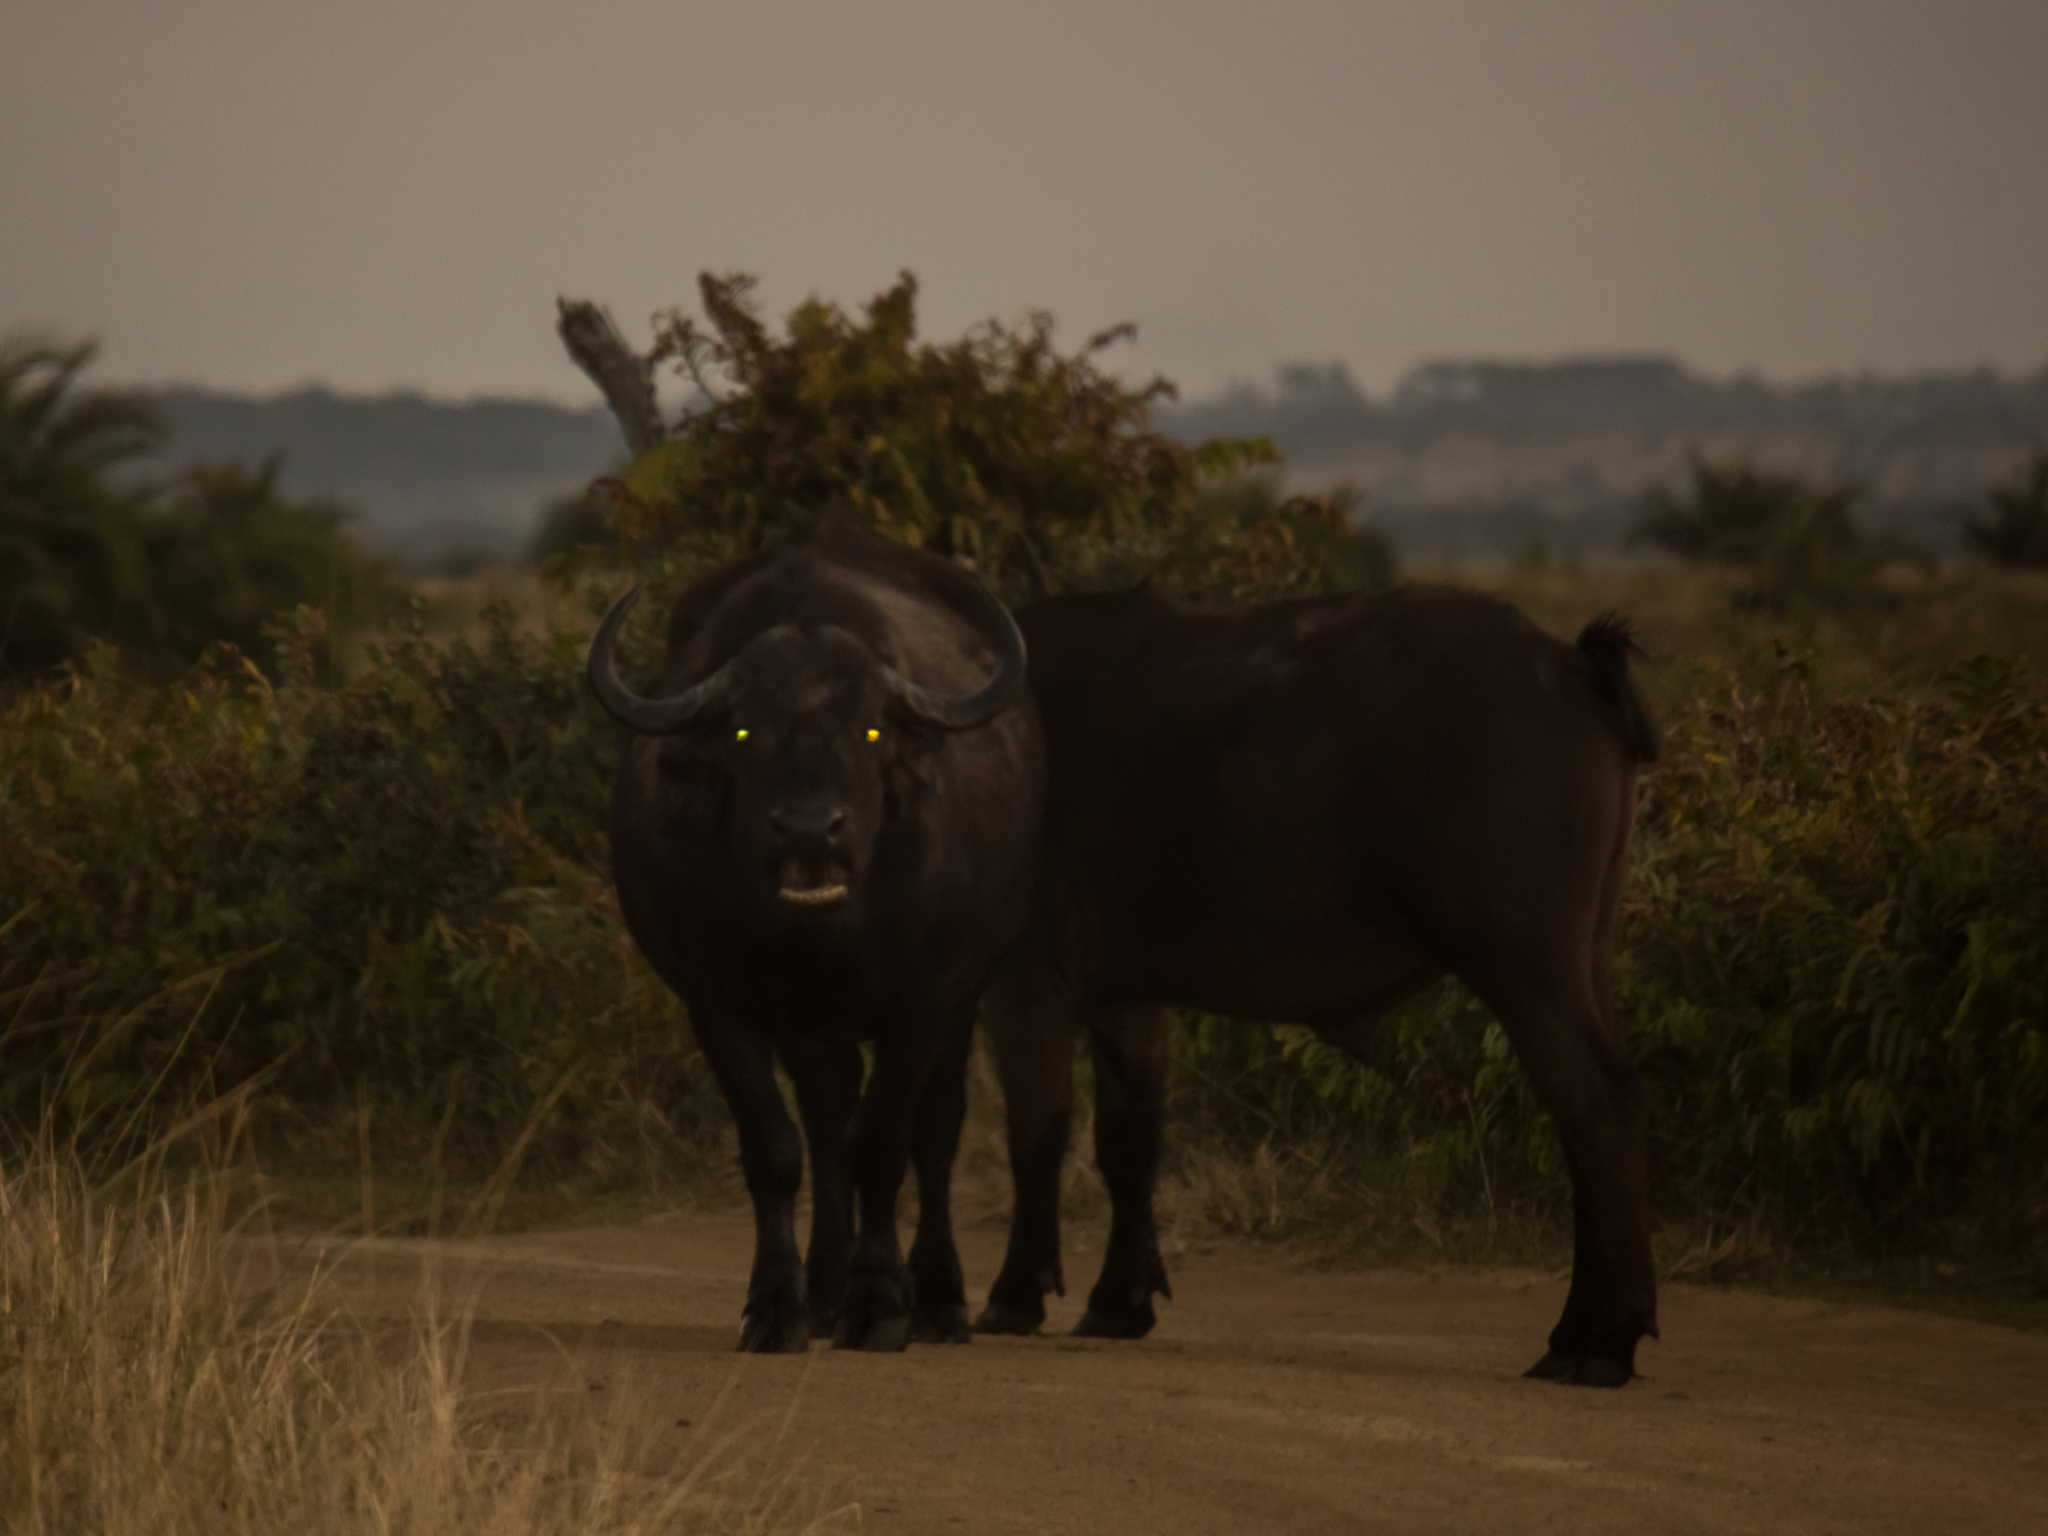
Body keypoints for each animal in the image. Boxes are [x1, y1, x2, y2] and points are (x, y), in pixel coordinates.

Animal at [589, 520, 1040, 1359]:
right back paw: (825, 1290)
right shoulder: (717, 1003)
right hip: (813, 1027)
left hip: (964, 994)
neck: (823, 929)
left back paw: (937, 1300)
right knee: (828, 1124)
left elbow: (885, 1142)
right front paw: (776, 1306)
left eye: (869, 728)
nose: (808, 828)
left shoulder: (922, 1002)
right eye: (744, 729)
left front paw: (881, 1305)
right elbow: (777, 1148)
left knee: (934, 1129)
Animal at [974, 581, 1662, 1392]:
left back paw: (1601, 1341)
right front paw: (1120, 1301)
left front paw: (1013, 1295)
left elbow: (1035, 1135)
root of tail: (1569, 665)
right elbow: (1129, 1143)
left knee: (1598, 1104)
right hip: (1584, 955)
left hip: (1526, 965)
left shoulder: (1024, 982)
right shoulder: (1127, 1002)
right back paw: (1584, 1331)